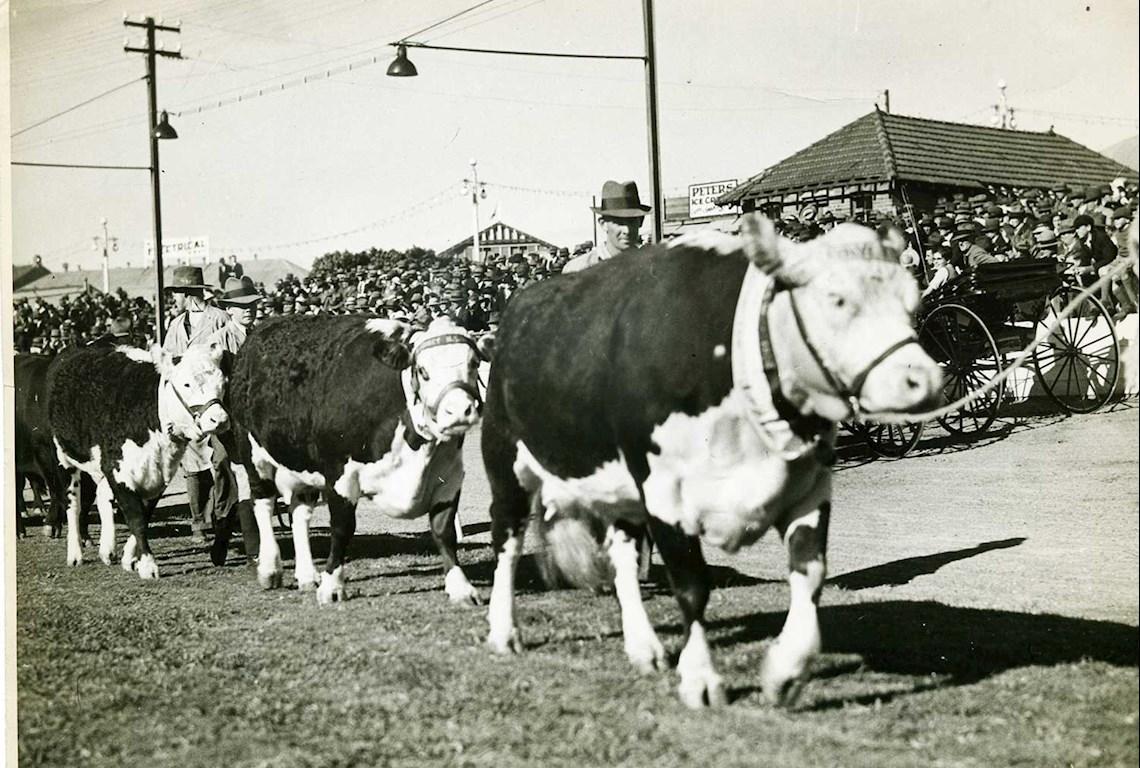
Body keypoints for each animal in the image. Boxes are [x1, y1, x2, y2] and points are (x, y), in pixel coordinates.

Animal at [47, 344, 229, 576]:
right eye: (186, 383)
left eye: (222, 383)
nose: (219, 420)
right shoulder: (118, 470)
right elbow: (136, 518)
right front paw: (148, 565)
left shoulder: (159, 474)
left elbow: (145, 514)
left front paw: (129, 558)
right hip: (64, 459)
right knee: (73, 504)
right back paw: (75, 554)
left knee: (102, 495)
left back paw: (107, 550)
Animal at [224, 314, 487, 601]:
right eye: (423, 371)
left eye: (474, 363)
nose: (459, 411)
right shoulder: (339, 472)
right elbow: (342, 528)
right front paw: (332, 585)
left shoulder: (450, 475)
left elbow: (444, 530)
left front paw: (461, 587)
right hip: (252, 453)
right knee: (263, 503)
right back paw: (270, 569)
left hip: (303, 464)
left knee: (300, 513)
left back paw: (307, 575)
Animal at [481, 215, 943, 706]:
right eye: (836, 298)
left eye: (912, 302)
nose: (924, 380)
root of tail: (515, 310)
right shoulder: (664, 494)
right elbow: (692, 587)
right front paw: (701, 679)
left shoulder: (808, 488)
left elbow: (810, 574)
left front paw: (786, 670)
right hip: (506, 463)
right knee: (507, 543)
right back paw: (503, 631)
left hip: (622, 487)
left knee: (622, 557)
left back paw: (643, 647)